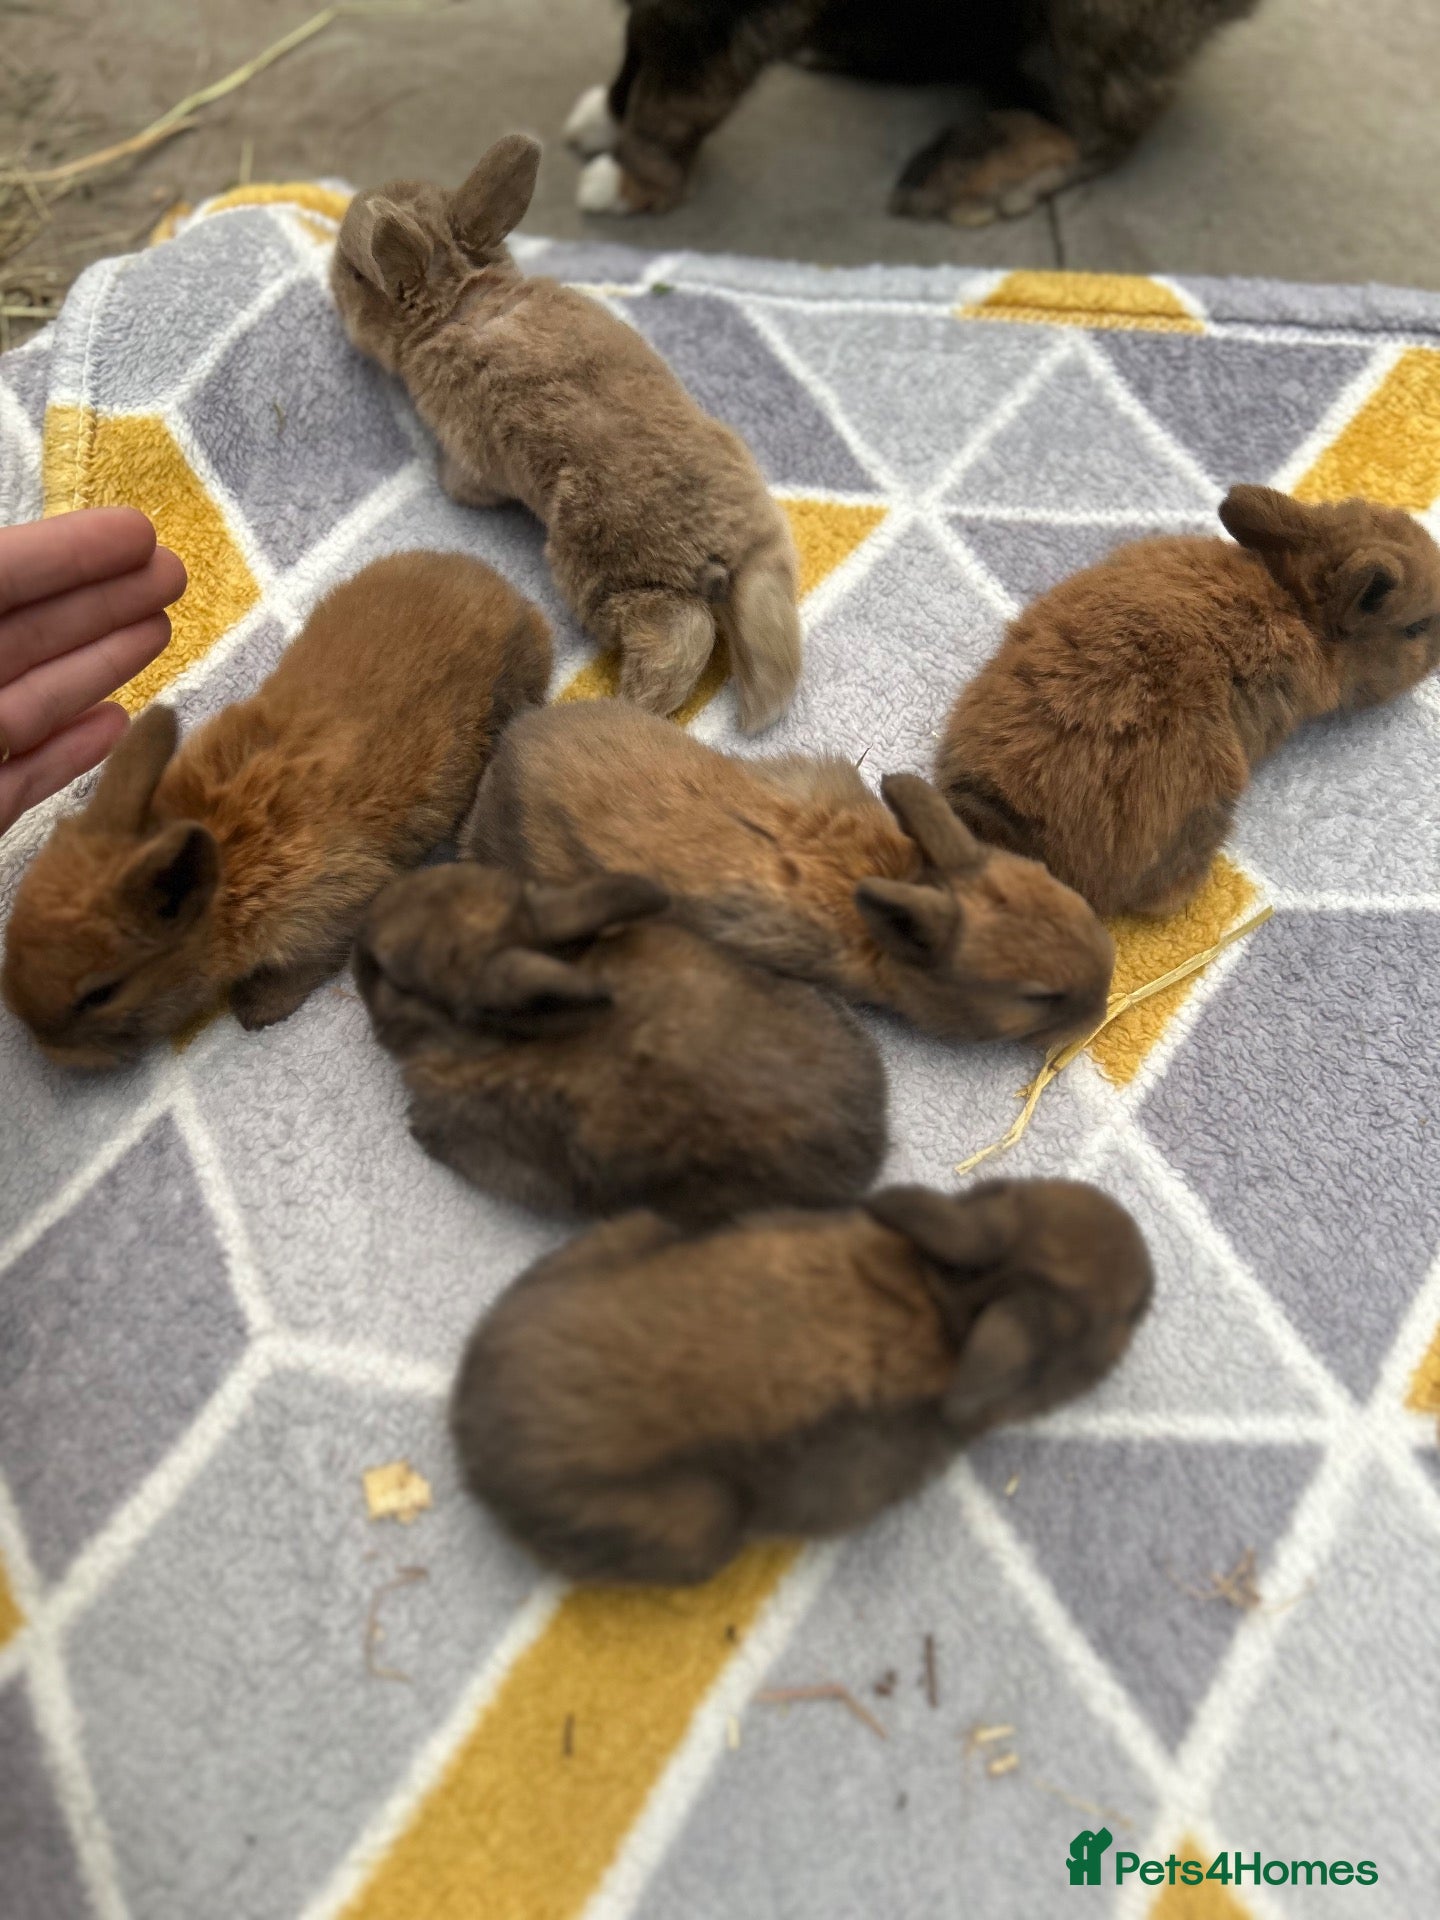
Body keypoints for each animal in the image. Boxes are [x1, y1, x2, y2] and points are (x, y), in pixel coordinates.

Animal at [2, 552, 551, 1067]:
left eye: (100, 994)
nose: (47, 1050)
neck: (223, 867)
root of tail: (514, 600)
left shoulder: (324, 909)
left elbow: (305, 963)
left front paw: (257, 1010)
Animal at [331, 134, 802, 732]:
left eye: (355, 274)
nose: (331, 284)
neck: (457, 300)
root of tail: (728, 545)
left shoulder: (471, 451)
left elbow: (468, 483)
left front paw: (439, 478)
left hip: (598, 571)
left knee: (679, 639)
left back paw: (626, 706)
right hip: (760, 556)